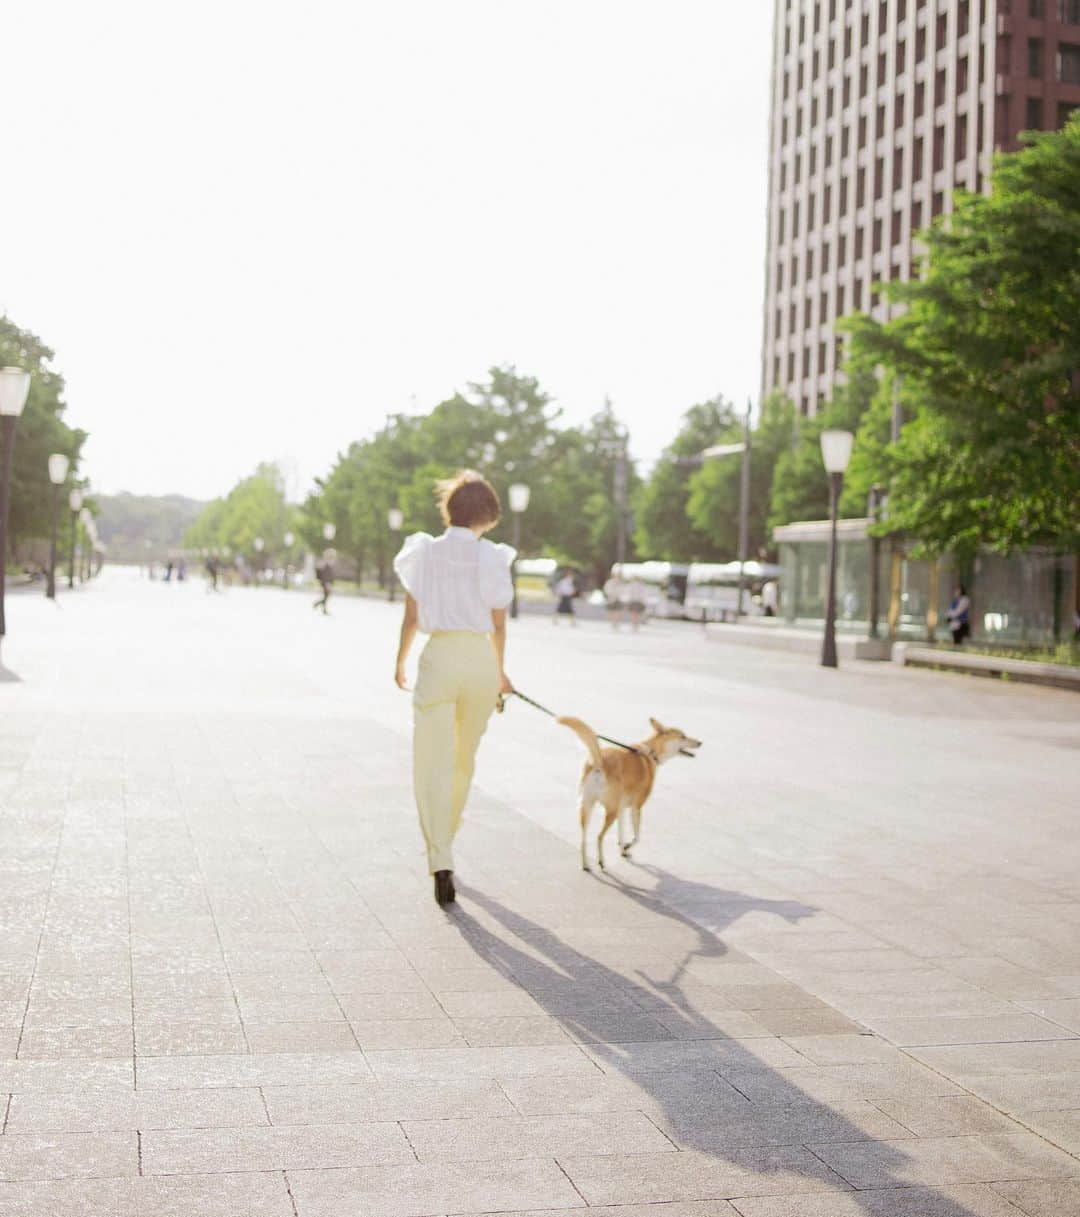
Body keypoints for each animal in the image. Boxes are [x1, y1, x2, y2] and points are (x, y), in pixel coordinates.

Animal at [557, 710, 701, 876]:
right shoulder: (636, 807)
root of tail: (599, 761)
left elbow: (621, 833)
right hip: (610, 811)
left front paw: (622, 849)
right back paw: (601, 862)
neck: (650, 752)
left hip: (587, 807)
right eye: (683, 736)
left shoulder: (622, 809)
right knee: (599, 836)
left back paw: (586, 865)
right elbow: (637, 837)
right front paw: (626, 846)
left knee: (583, 839)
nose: (700, 742)